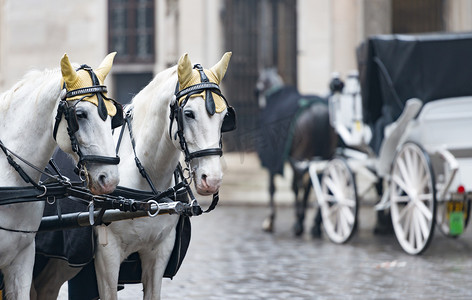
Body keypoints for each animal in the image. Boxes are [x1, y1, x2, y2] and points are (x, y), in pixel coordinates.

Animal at [256, 69, 338, 236]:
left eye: (257, 90)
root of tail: (318, 111)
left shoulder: (273, 160)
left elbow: (273, 188)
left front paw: (270, 220)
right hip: (325, 156)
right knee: (320, 181)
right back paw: (315, 224)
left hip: (301, 156)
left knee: (300, 184)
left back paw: (300, 222)